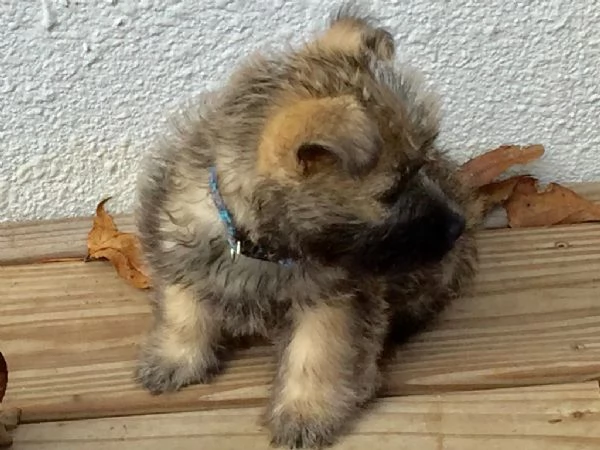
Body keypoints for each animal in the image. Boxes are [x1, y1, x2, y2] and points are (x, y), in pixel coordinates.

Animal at [135, 5, 482, 448]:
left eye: (421, 164)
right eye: (392, 191)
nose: (457, 225)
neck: (258, 246)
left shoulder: (332, 300)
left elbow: (316, 356)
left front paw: (306, 413)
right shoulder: (181, 253)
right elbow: (183, 311)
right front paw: (175, 358)